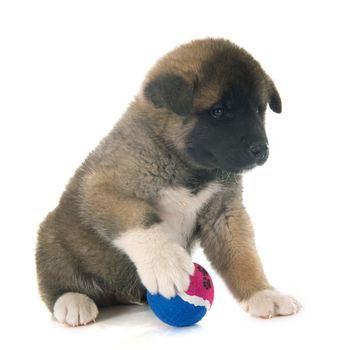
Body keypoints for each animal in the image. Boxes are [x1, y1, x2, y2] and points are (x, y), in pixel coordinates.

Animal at [37, 38, 302, 326]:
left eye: (258, 109)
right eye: (218, 111)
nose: (261, 150)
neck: (186, 165)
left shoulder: (224, 214)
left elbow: (243, 256)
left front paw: (262, 293)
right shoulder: (104, 189)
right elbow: (140, 221)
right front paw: (165, 262)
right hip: (52, 240)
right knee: (55, 283)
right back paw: (73, 301)